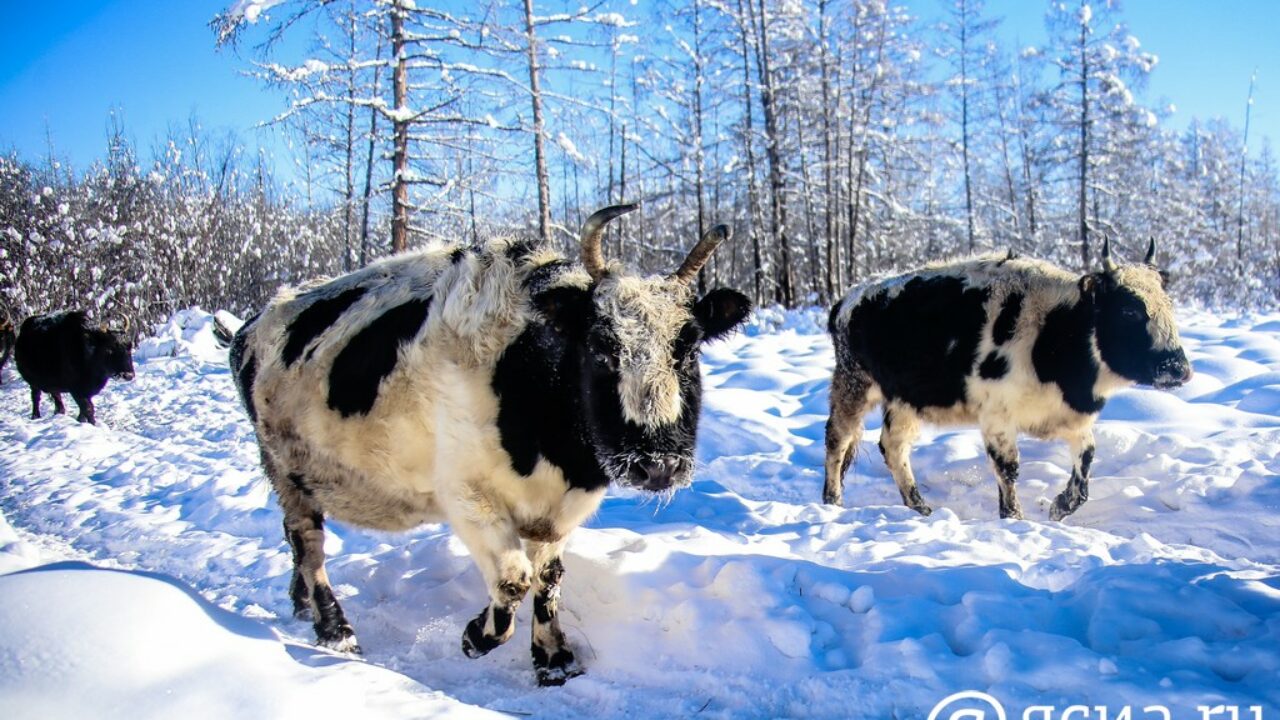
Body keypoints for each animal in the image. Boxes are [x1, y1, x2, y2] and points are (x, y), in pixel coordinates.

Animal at [231, 203, 747, 681]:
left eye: (689, 347)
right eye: (601, 346)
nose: (658, 465)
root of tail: (252, 323)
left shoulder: (561, 508)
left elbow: (548, 578)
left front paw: (553, 658)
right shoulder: (467, 495)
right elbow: (514, 580)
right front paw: (475, 635)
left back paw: (301, 605)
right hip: (285, 467)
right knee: (308, 541)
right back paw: (335, 629)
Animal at [824, 240, 1192, 520]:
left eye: (1169, 305)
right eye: (1129, 310)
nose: (1179, 368)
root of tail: (846, 300)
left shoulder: (1071, 419)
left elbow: (1086, 462)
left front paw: (1060, 506)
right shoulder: (997, 416)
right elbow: (1008, 468)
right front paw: (1014, 517)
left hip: (903, 400)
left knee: (893, 446)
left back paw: (920, 507)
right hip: (853, 385)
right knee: (838, 440)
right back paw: (832, 501)